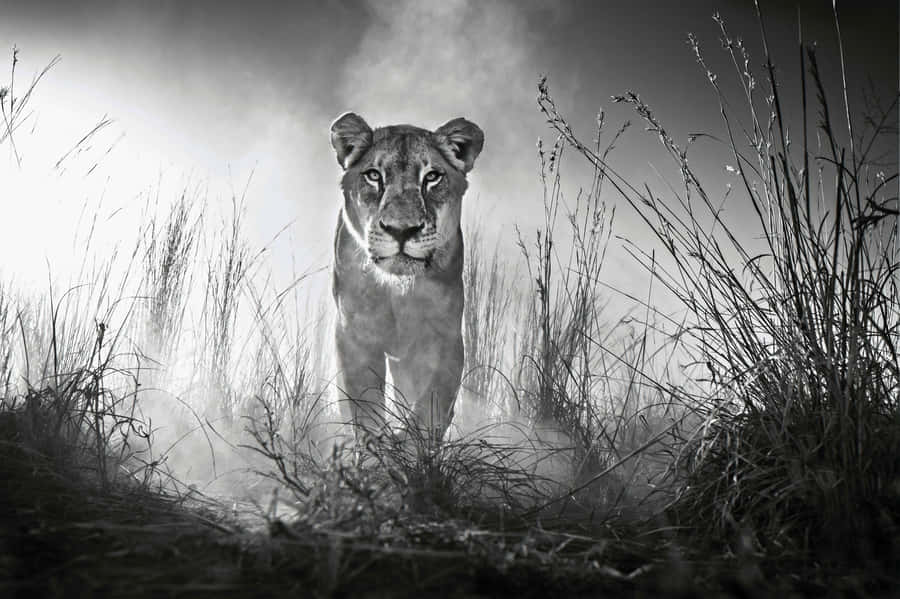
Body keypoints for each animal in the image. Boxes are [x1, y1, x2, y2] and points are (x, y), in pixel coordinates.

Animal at [329, 112, 484, 442]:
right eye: (374, 176)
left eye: (432, 177)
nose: (401, 230)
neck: (397, 292)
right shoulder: (354, 334)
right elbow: (363, 403)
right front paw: (374, 447)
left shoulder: (444, 337)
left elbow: (431, 404)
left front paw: (407, 444)